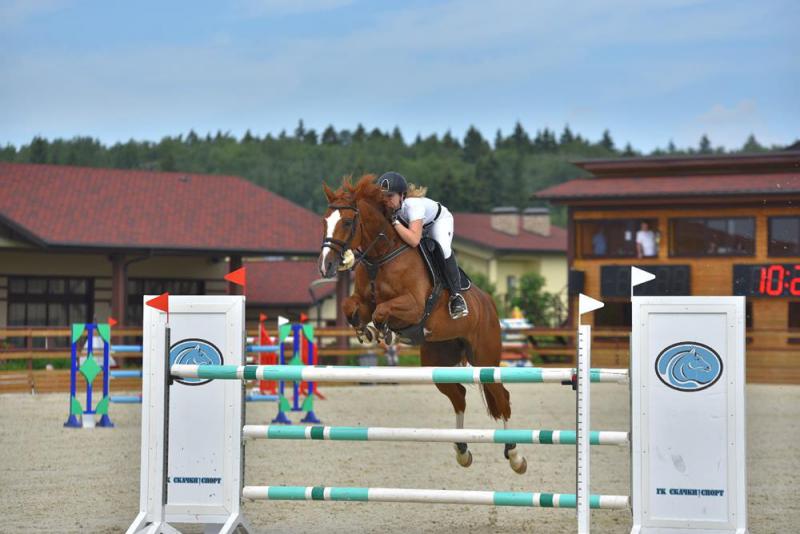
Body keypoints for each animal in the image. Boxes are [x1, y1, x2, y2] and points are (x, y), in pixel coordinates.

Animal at [318, 175, 527, 474]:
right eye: (324, 221)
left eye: (347, 222)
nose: (326, 266)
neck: (381, 255)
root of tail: (488, 303)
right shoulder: (363, 301)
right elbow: (351, 307)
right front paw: (365, 331)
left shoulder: (414, 306)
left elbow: (382, 311)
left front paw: (385, 333)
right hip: (438, 360)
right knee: (459, 395)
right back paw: (462, 450)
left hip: (485, 358)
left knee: (502, 396)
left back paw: (515, 456)